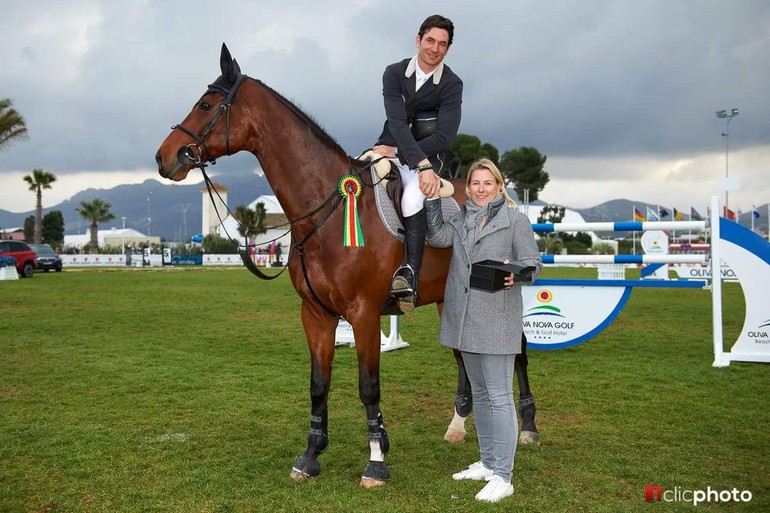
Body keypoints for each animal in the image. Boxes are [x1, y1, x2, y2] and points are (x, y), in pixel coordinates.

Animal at [152, 43, 536, 484]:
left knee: (518, 352)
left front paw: (377, 460)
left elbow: (368, 387)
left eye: (206, 104)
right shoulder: (316, 314)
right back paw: (457, 426)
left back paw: (528, 428)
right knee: (463, 356)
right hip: (449, 301)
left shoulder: (364, 313)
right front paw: (311, 454)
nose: (164, 156)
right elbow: (318, 384)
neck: (328, 211)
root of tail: (506, 200)